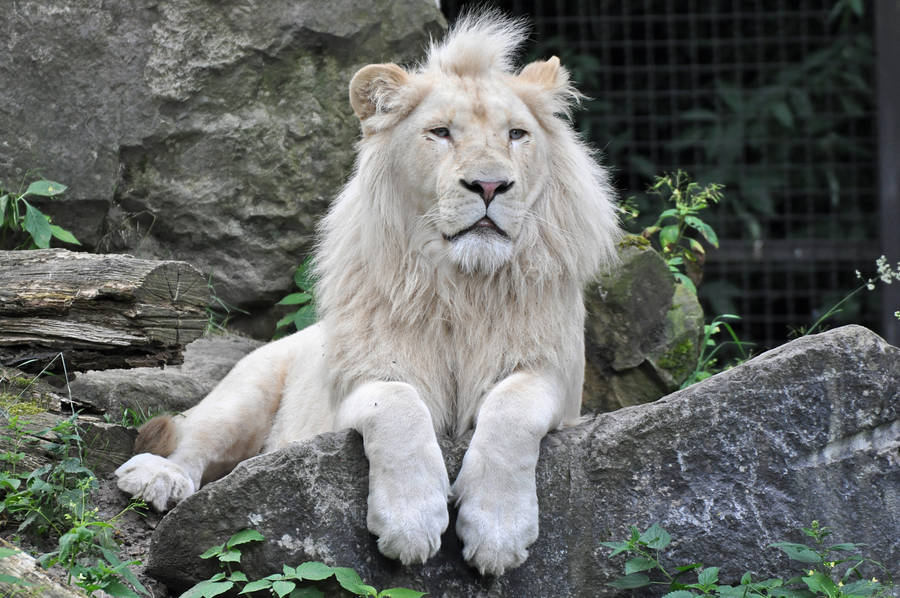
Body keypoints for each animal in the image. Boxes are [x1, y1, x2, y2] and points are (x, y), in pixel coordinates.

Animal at [115, 12, 621, 576]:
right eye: (440, 133)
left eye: (517, 135)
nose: (489, 186)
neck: (462, 285)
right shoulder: (363, 375)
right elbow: (398, 407)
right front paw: (410, 524)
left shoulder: (556, 377)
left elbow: (512, 411)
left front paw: (497, 532)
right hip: (245, 392)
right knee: (192, 443)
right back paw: (159, 479)